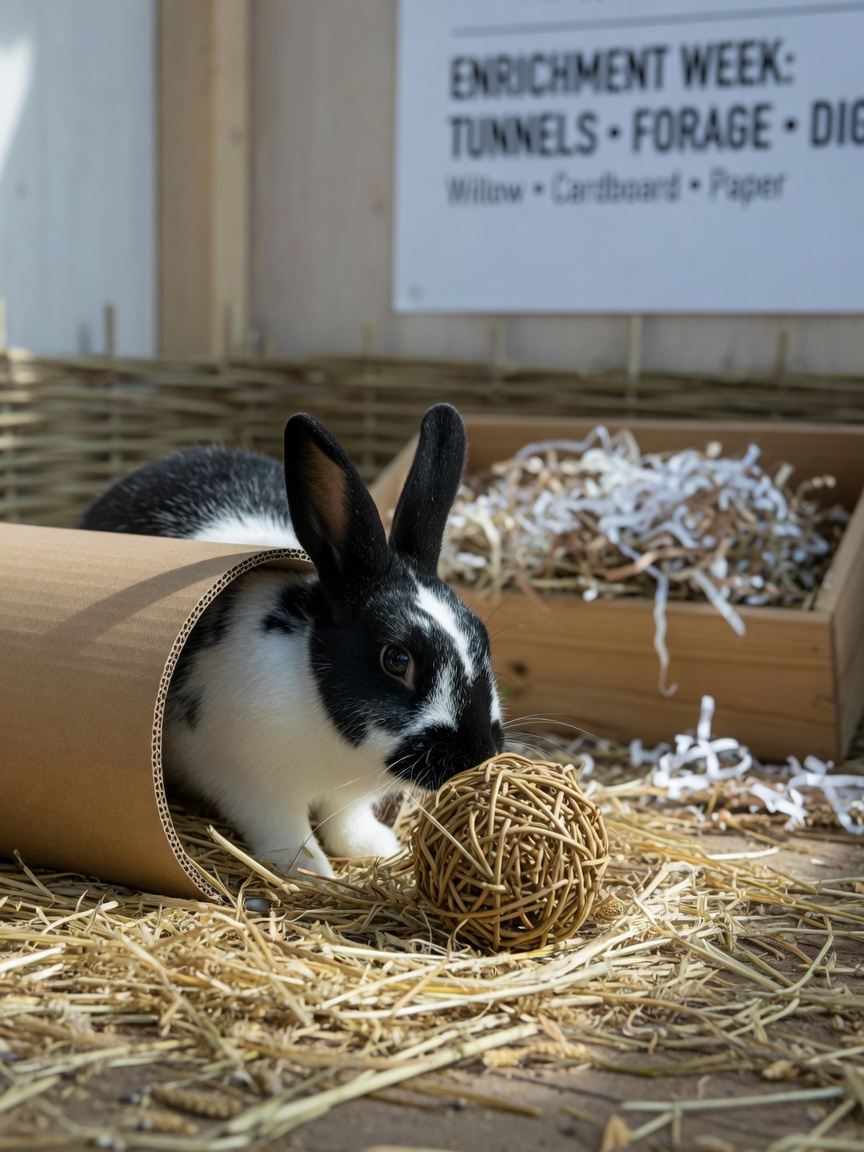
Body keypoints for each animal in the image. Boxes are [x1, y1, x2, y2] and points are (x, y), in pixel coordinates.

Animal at [79, 404, 505, 878]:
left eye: (481, 636)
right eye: (397, 659)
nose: (479, 754)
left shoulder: (347, 798)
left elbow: (345, 822)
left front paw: (378, 848)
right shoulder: (252, 787)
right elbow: (286, 833)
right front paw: (313, 872)